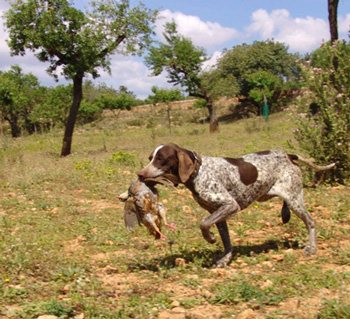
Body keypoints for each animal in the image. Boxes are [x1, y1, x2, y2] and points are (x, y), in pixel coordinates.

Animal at [136, 144, 334, 268]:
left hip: (295, 200)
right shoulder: (217, 213)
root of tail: (288, 155)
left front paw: (210, 238)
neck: (199, 171)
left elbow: (203, 224)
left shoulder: (230, 205)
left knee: (310, 222)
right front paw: (225, 259)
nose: (140, 174)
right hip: (283, 195)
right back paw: (285, 214)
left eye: (160, 159)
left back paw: (312, 248)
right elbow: (226, 241)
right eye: (150, 158)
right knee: (287, 205)